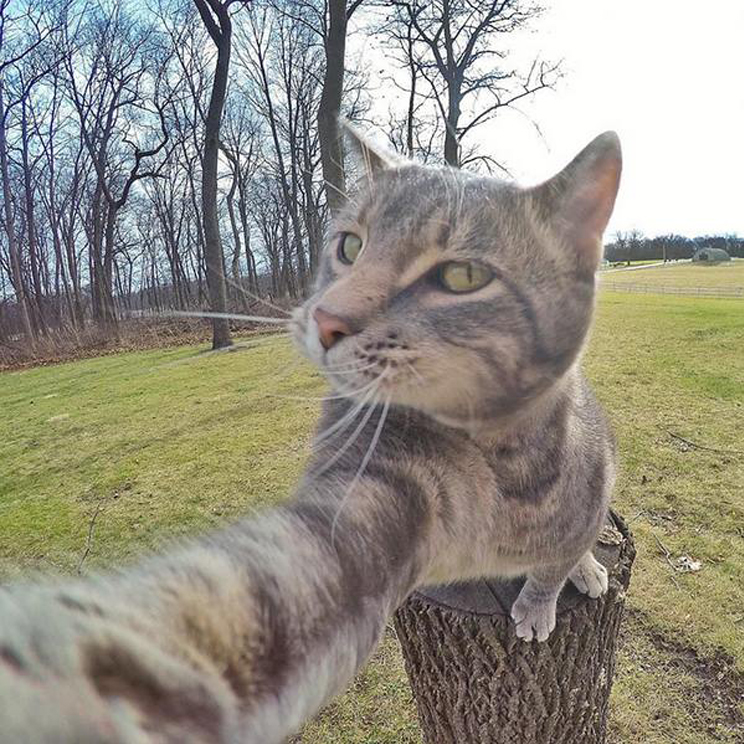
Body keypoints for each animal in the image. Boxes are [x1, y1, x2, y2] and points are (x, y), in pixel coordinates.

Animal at [0, 125, 620, 740]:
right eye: (349, 247)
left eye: (463, 276)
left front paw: (543, 599)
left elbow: (553, 564)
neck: (497, 459)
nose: (326, 318)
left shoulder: (583, 497)